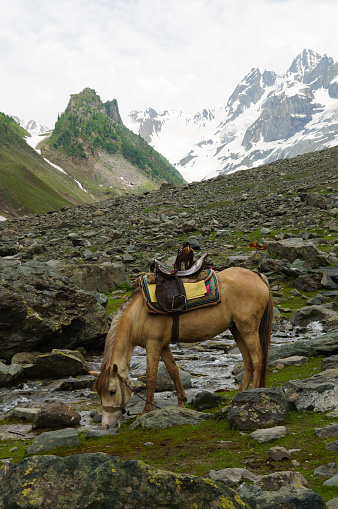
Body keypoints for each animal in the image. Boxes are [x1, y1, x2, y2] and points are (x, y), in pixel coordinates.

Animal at [90, 266, 274, 428]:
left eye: (112, 391)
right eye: (99, 394)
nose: (107, 425)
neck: (138, 315)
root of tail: (257, 276)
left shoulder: (153, 343)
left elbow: (151, 377)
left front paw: (146, 410)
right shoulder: (163, 345)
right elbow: (173, 371)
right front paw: (181, 402)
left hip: (248, 329)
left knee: (258, 360)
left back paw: (253, 394)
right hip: (236, 329)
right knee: (248, 362)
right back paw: (238, 395)